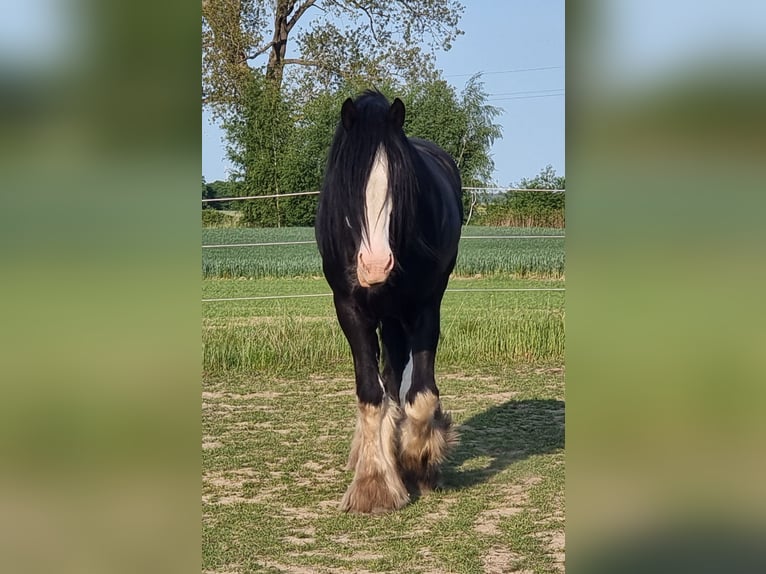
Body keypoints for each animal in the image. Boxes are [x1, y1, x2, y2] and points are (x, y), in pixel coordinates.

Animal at [316, 91, 464, 516]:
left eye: (401, 186)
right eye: (346, 186)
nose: (375, 265)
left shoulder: (425, 307)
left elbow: (422, 395)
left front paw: (419, 459)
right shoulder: (350, 310)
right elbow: (370, 393)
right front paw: (374, 483)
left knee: (399, 376)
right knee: (388, 378)